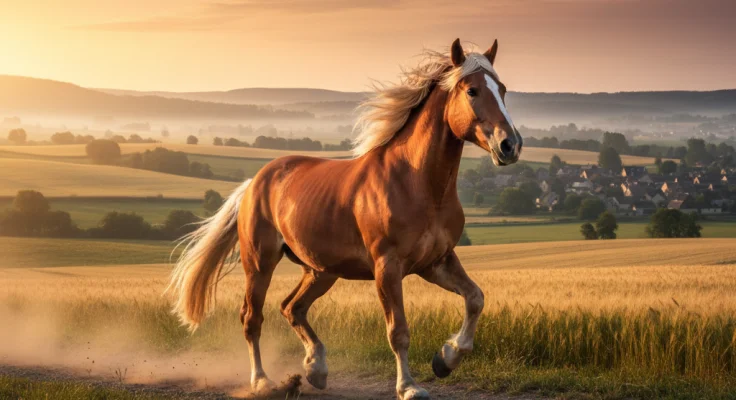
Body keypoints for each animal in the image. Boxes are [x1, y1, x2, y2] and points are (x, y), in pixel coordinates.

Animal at [168, 38, 522, 400]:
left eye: (502, 89)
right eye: (472, 90)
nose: (510, 145)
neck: (417, 183)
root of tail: (254, 183)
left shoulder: (436, 262)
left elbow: (475, 298)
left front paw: (445, 359)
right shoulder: (387, 267)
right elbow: (398, 330)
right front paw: (409, 387)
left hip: (321, 271)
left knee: (291, 307)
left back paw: (316, 369)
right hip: (260, 264)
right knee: (252, 318)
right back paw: (263, 381)